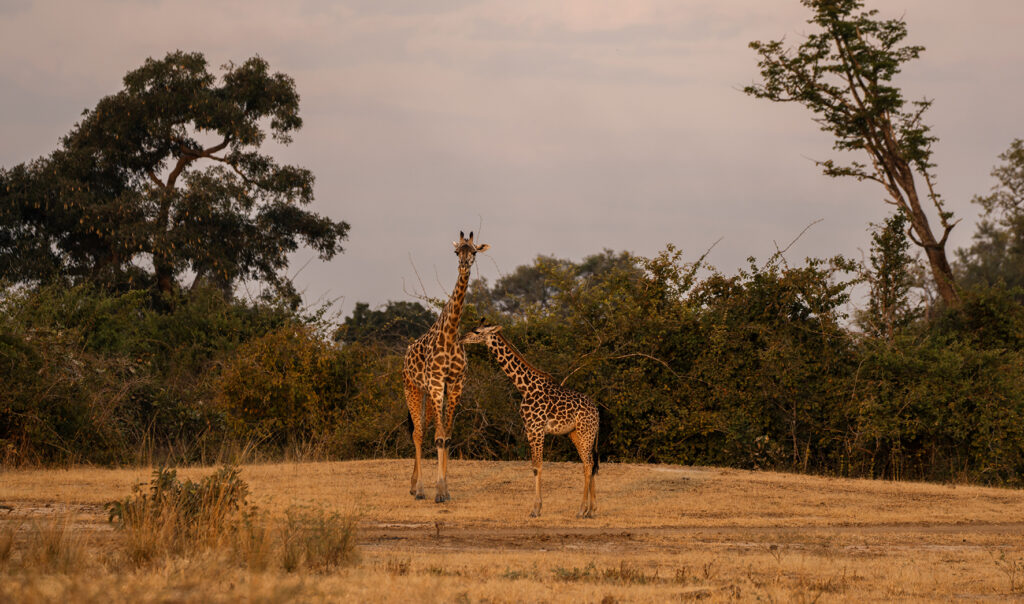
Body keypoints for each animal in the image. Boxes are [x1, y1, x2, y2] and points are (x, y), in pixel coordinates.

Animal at [403, 231, 489, 503]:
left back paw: (414, 485)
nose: (463, 265)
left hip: (430, 394)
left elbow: (446, 436)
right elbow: (439, 437)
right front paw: (438, 491)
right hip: (413, 388)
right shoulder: (436, 381)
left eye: (474, 252)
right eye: (456, 251)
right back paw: (419, 489)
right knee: (418, 433)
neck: (450, 335)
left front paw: (445, 489)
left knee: (427, 428)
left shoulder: (455, 383)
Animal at [460, 320, 599, 518]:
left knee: (588, 464)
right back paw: (591, 509)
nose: (462, 338)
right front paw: (537, 507)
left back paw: (581, 510)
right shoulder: (529, 428)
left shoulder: (536, 428)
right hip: (576, 434)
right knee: (590, 464)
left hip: (585, 432)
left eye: (477, 331)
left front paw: (536, 509)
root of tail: (597, 411)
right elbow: (534, 465)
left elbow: (537, 466)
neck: (524, 387)